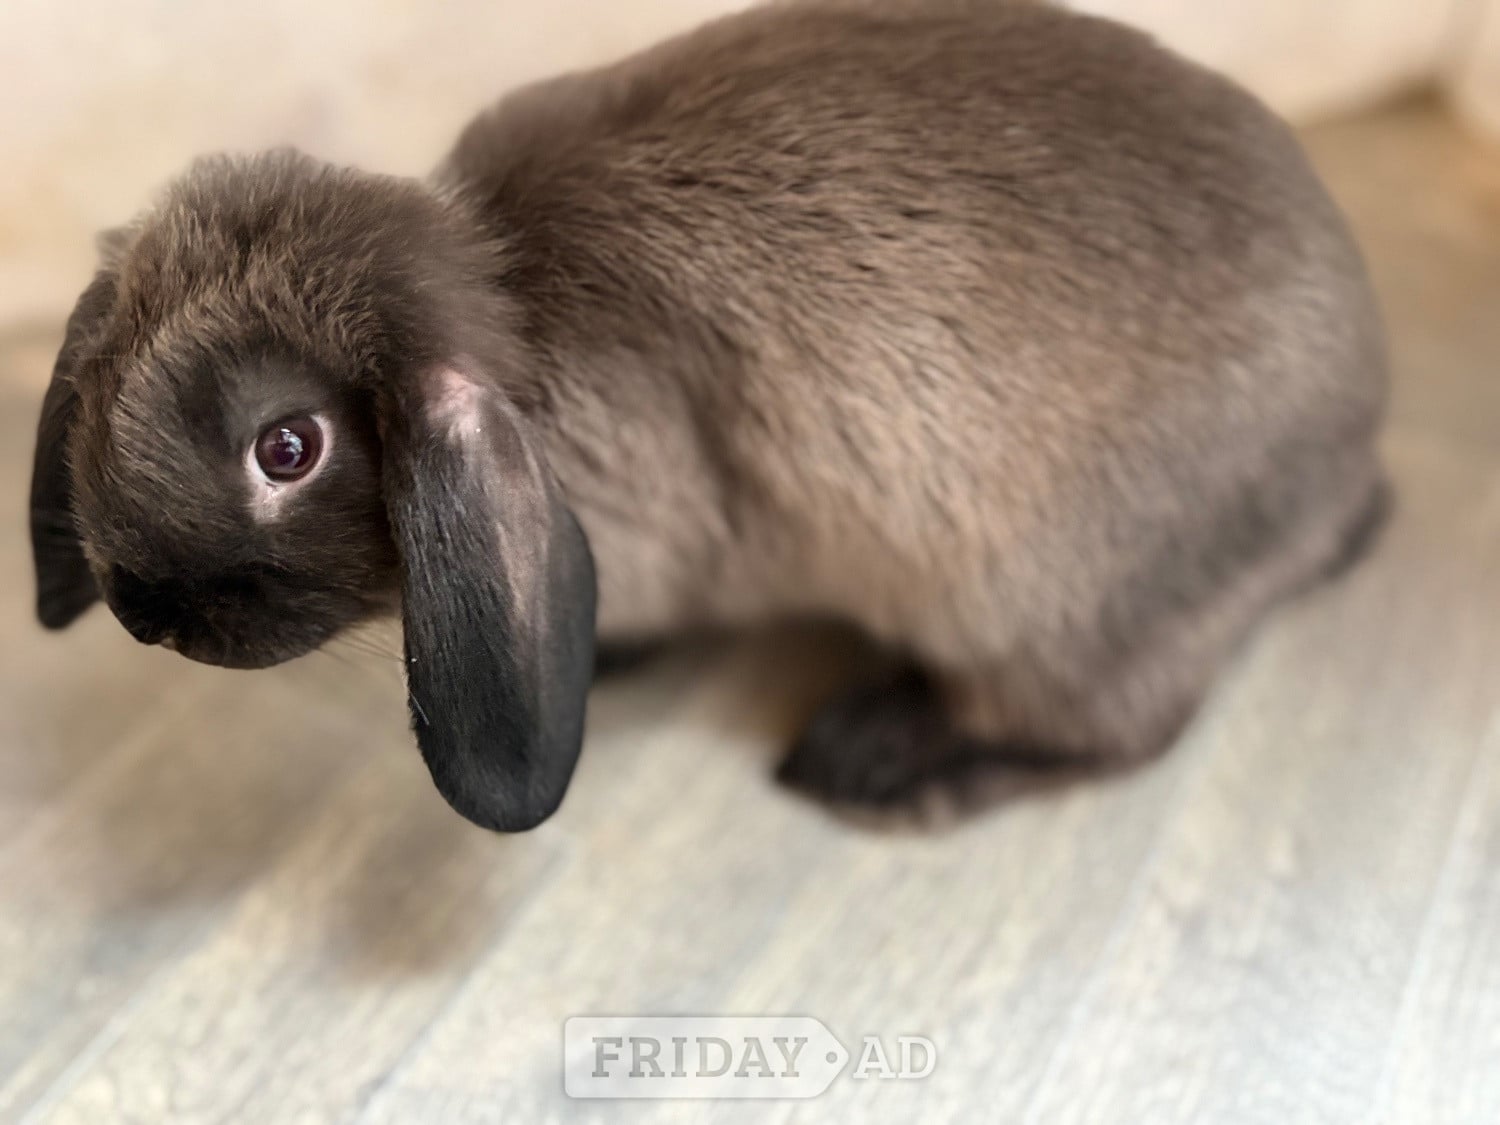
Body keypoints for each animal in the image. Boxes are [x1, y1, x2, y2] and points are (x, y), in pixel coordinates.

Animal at [29, 0, 1389, 831]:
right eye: (103, 387)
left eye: (288, 448)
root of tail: (1351, 463)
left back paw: (874, 762)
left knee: (1119, 731)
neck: (521, 321)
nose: (149, 617)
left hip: (1048, 604)